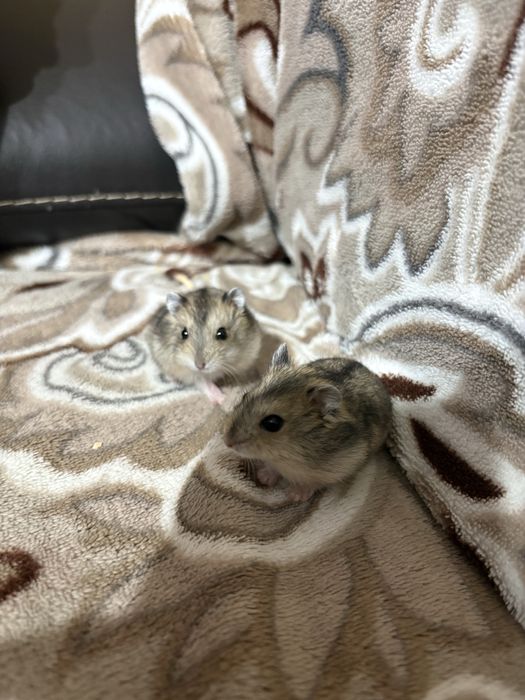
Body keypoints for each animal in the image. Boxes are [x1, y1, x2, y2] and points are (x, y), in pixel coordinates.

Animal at [223, 343, 392, 501]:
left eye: (272, 423)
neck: (288, 452)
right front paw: (264, 477)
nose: (227, 442)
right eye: (245, 396)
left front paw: (294, 495)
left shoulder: (343, 465)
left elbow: (313, 482)